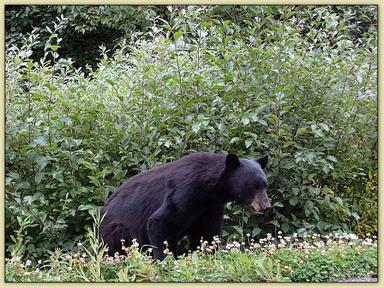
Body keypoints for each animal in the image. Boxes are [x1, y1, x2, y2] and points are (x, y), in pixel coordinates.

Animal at [100, 152, 272, 260]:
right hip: (116, 229)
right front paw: (166, 261)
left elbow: (208, 233)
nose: (266, 206)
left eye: (265, 185)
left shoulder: (211, 208)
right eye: (253, 186)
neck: (209, 189)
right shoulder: (184, 192)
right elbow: (160, 222)